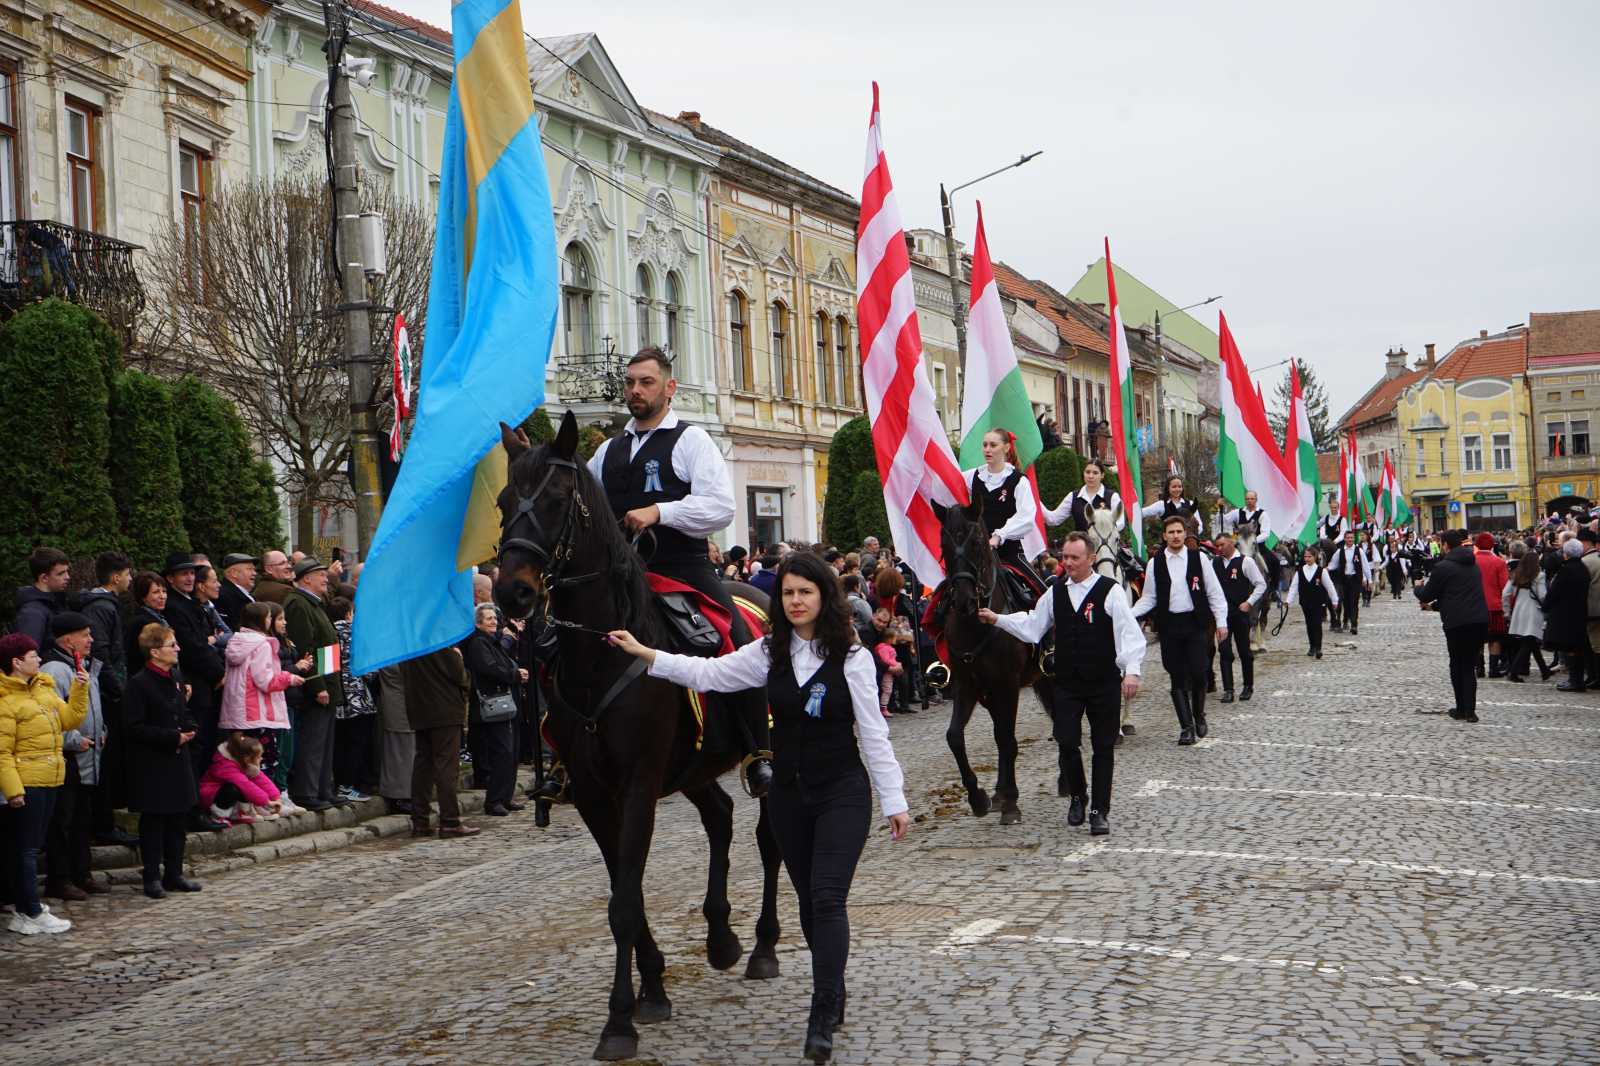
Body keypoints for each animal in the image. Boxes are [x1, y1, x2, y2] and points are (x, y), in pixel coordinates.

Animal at [489, 409, 784, 1056]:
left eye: (556, 499)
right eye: (502, 501)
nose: (511, 592)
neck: (600, 653)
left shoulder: (639, 785)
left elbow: (625, 900)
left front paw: (619, 1020)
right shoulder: (596, 794)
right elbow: (625, 894)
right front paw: (651, 988)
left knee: (769, 838)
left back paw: (764, 945)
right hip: (695, 768)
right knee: (721, 816)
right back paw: (721, 937)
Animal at [934, 492, 1056, 825]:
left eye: (977, 542)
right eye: (943, 545)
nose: (963, 600)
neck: (975, 624)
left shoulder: (1007, 684)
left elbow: (1007, 738)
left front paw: (1011, 802)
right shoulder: (967, 686)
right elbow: (954, 736)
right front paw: (979, 798)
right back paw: (999, 793)